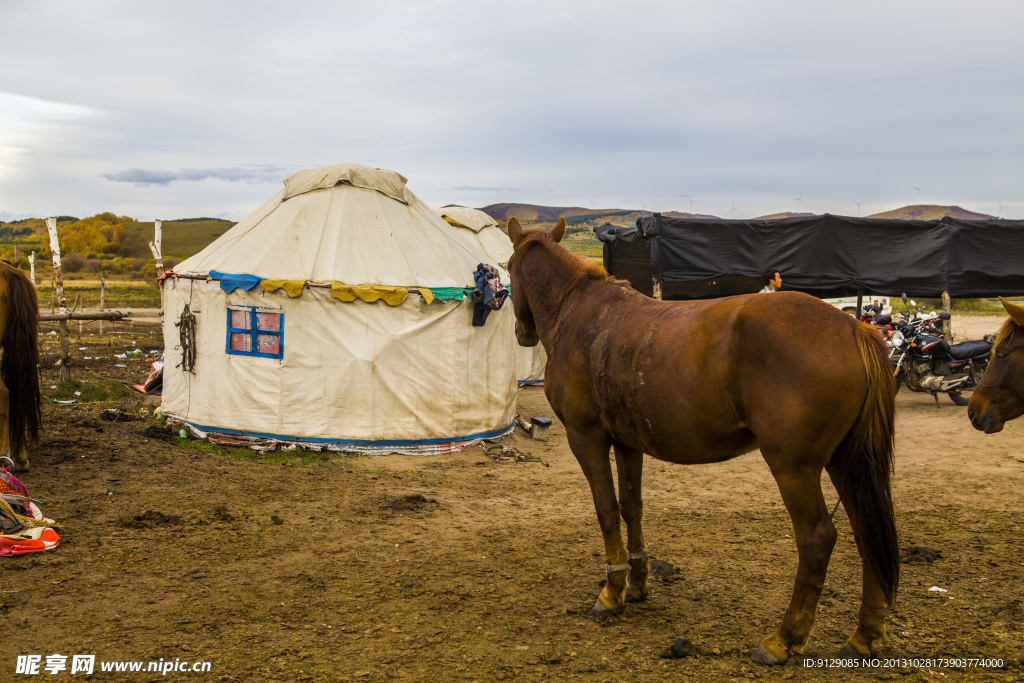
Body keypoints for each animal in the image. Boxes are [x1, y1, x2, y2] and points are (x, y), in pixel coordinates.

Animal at [505, 220, 897, 667]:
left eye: (507, 267)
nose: (521, 333)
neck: (580, 313)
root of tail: (854, 327)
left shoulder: (586, 438)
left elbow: (607, 511)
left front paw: (611, 593)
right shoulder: (627, 443)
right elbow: (632, 507)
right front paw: (637, 584)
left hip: (793, 466)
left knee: (817, 538)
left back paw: (783, 639)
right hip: (845, 461)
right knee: (867, 533)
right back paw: (864, 635)